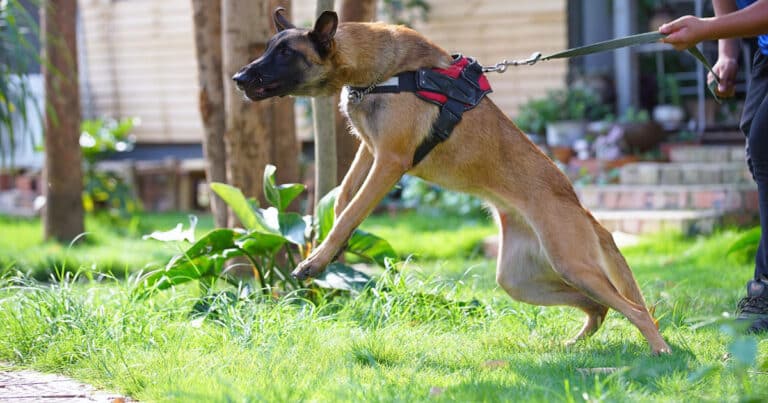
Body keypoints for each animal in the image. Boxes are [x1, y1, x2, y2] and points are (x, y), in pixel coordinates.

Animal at [234, 7, 672, 356]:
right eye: (269, 48)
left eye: (286, 54)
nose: (238, 77)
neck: (382, 70)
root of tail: (582, 209)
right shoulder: (370, 151)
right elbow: (343, 200)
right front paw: (331, 250)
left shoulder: (389, 161)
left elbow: (350, 211)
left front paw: (317, 259)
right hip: (521, 281)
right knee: (598, 305)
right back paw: (574, 345)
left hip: (572, 262)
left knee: (635, 309)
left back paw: (661, 352)